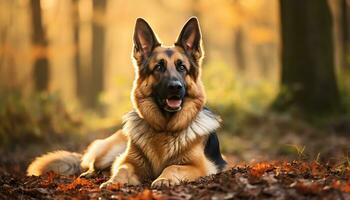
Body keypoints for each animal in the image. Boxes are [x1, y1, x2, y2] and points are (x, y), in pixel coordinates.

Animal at [26, 16, 226, 188]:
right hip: (108, 154)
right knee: (93, 163)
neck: (164, 129)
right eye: (159, 67)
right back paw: (90, 174)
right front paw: (112, 182)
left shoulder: (199, 166)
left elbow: (173, 166)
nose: (175, 87)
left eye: (182, 67)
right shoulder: (128, 161)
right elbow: (121, 168)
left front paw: (163, 179)